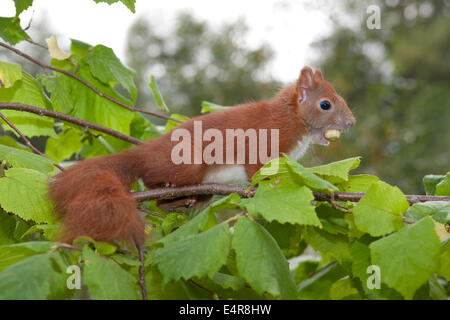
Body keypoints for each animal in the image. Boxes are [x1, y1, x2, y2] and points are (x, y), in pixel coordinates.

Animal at [49, 65, 356, 245]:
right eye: (325, 104)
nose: (351, 122)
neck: (291, 118)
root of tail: (144, 152)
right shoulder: (261, 143)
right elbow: (256, 170)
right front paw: (265, 187)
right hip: (188, 165)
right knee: (153, 185)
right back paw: (170, 193)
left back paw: (183, 203)